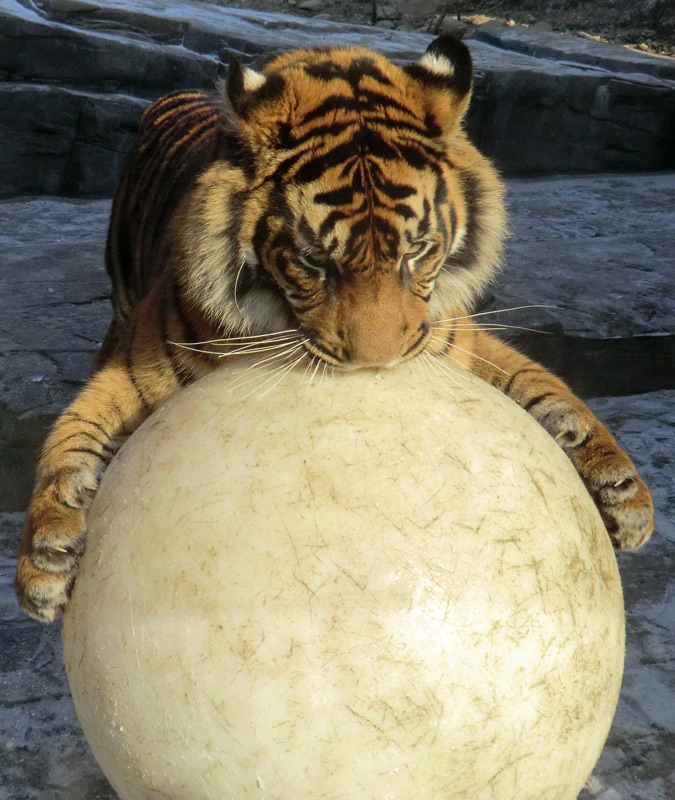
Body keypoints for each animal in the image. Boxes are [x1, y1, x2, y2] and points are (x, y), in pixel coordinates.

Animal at [13, 34, 652, 620]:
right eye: (314, 260)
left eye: (416, 252)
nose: (376, 363)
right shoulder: (140, 365)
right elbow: (73, 432)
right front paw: (46, 557)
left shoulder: (454, 340)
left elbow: (542, 383)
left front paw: (623, 491)